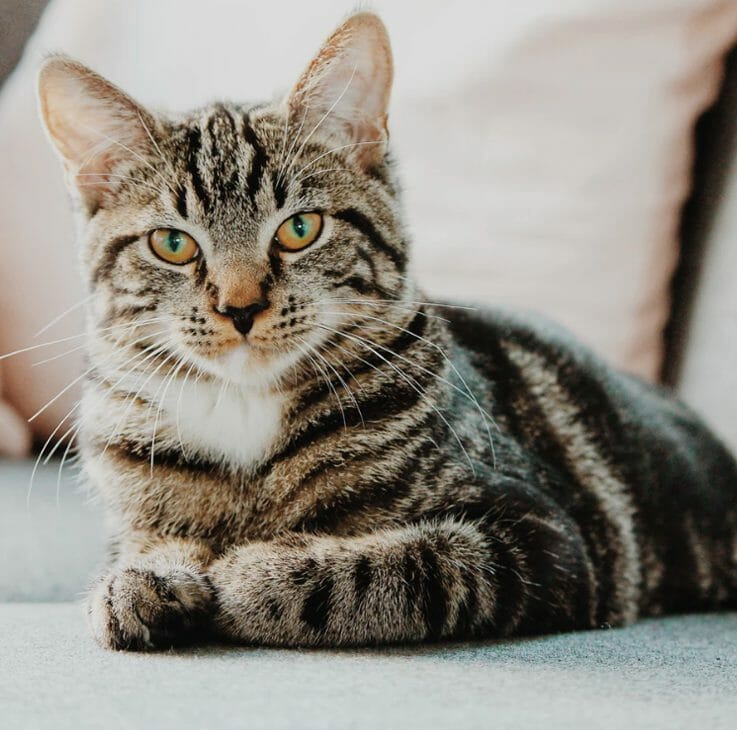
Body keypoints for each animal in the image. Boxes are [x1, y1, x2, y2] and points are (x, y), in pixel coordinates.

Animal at [36, 12, 736, 648]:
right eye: (173, 244)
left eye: (300, 228)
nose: (240, 307)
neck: (244, 411)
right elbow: (142, 545)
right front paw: (142, 578)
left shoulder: (542, 538)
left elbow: (394, 567)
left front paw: (253, 573)